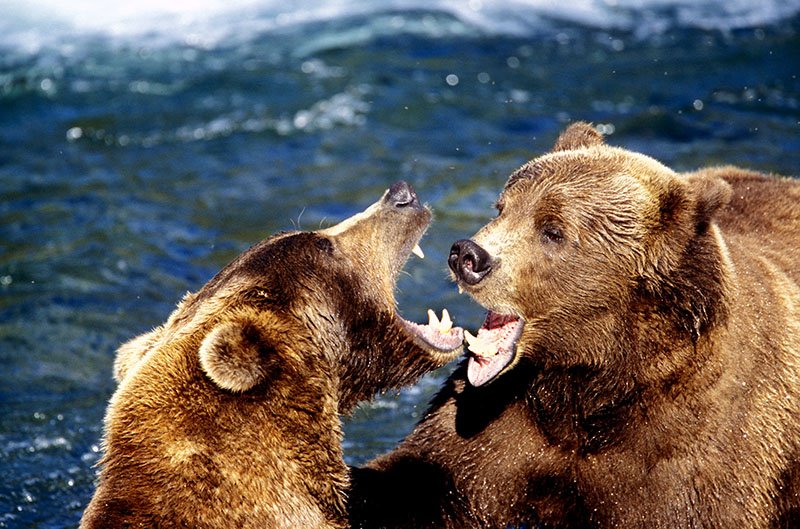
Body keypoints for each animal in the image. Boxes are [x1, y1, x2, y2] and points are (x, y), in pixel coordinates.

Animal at [348, 123, 800, 529]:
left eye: (553, 230)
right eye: (502, 206)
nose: (468, 255)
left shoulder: (695, 457)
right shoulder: (499, 426)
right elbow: (420, 479)